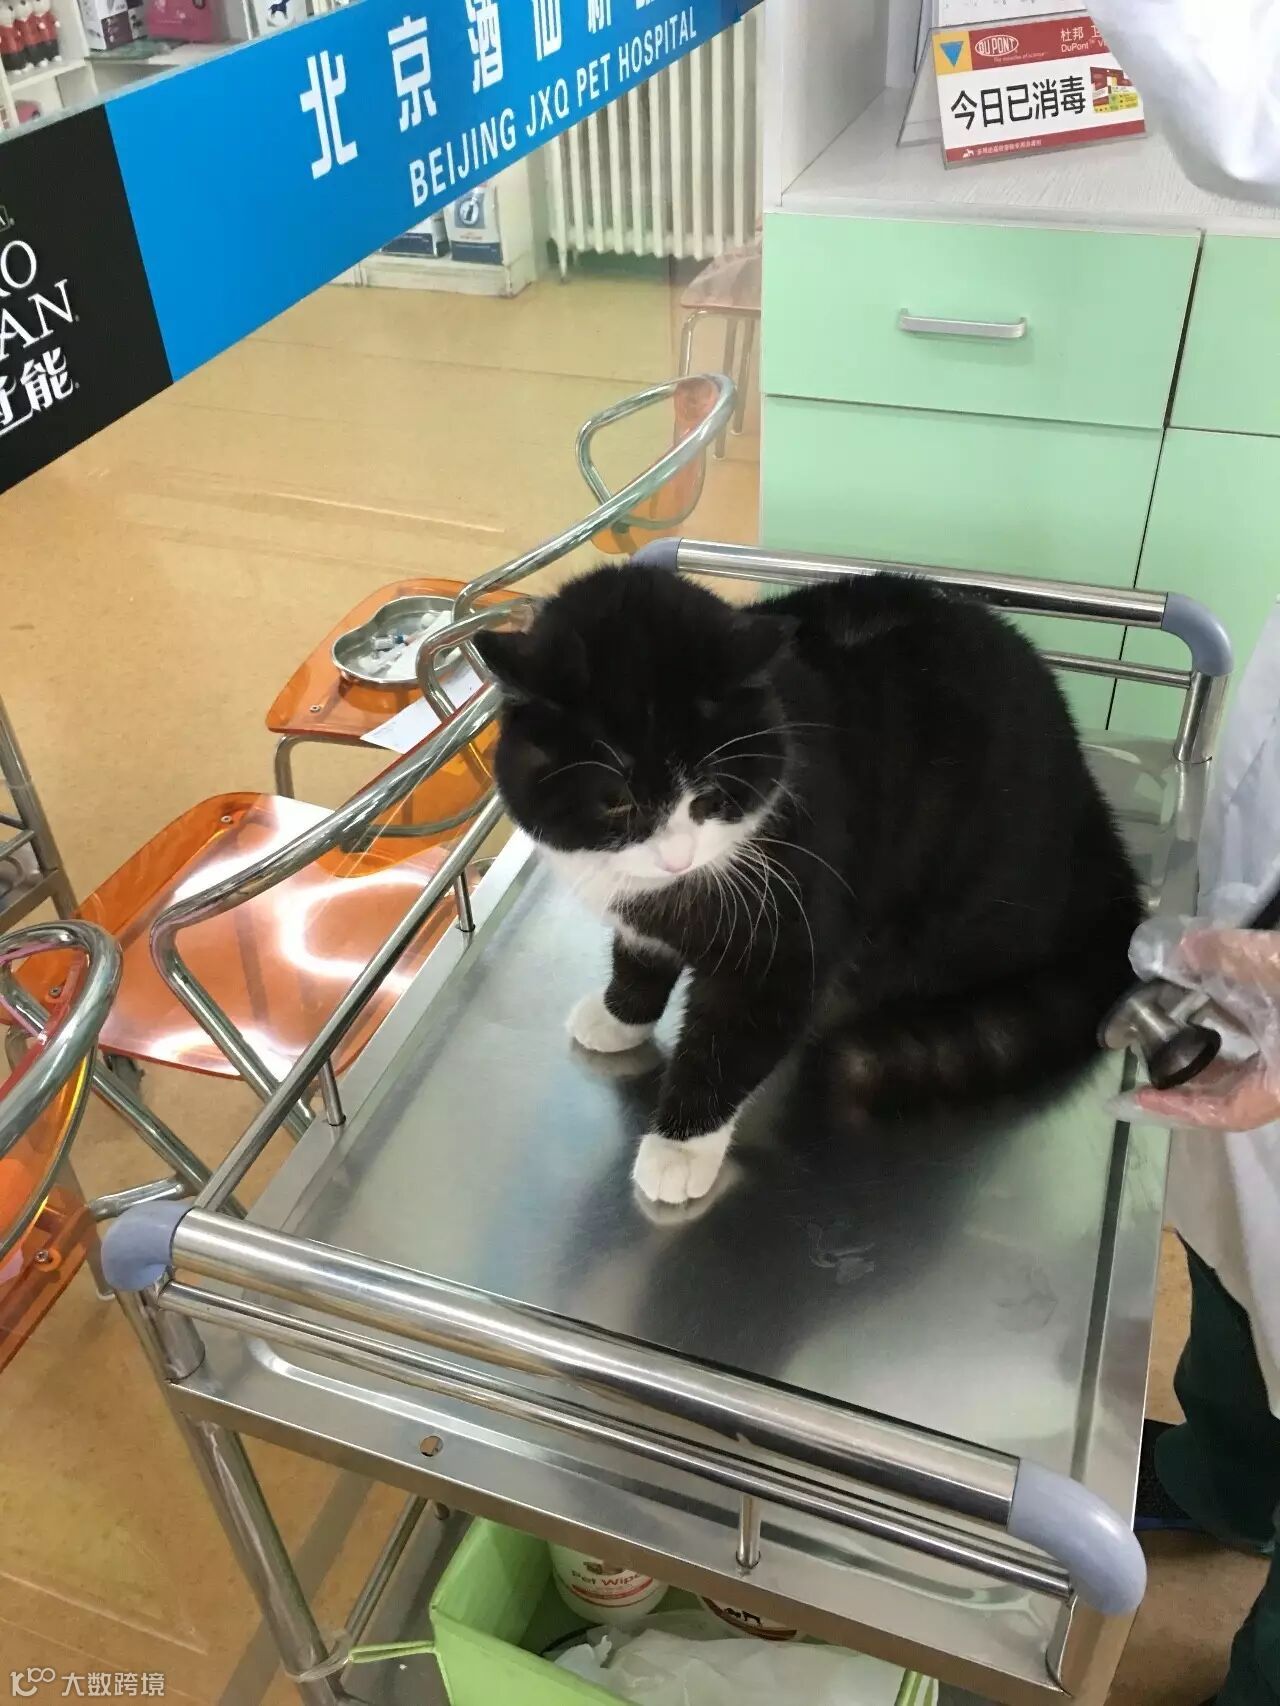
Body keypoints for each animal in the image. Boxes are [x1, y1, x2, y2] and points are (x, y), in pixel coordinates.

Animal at [473, 564, 1142, 1207]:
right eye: (614, 800)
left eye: (711, 793)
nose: (676, 857)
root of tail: (1105, 848)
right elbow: (640, 955)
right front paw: (619, 1016)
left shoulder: (791, 922)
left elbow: (733, 1037)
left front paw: (680, 1150)